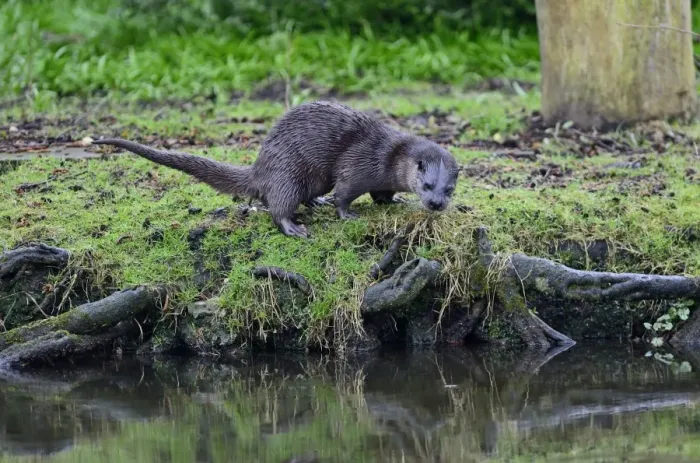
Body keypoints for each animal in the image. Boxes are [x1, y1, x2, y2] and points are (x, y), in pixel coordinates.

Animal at [93, 101, 460, 238]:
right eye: (427, 185)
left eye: (449, 189)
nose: (435, 204)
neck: (389, 157)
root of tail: (260, 168)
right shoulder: (358, 166)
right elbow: (345, 193)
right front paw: (347, 215)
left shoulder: (381, 178)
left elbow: (382, 194)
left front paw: (396, 200)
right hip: (288, 175)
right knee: (277, 206)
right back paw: (294, 226)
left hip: (309, 179)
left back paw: (315, 203)